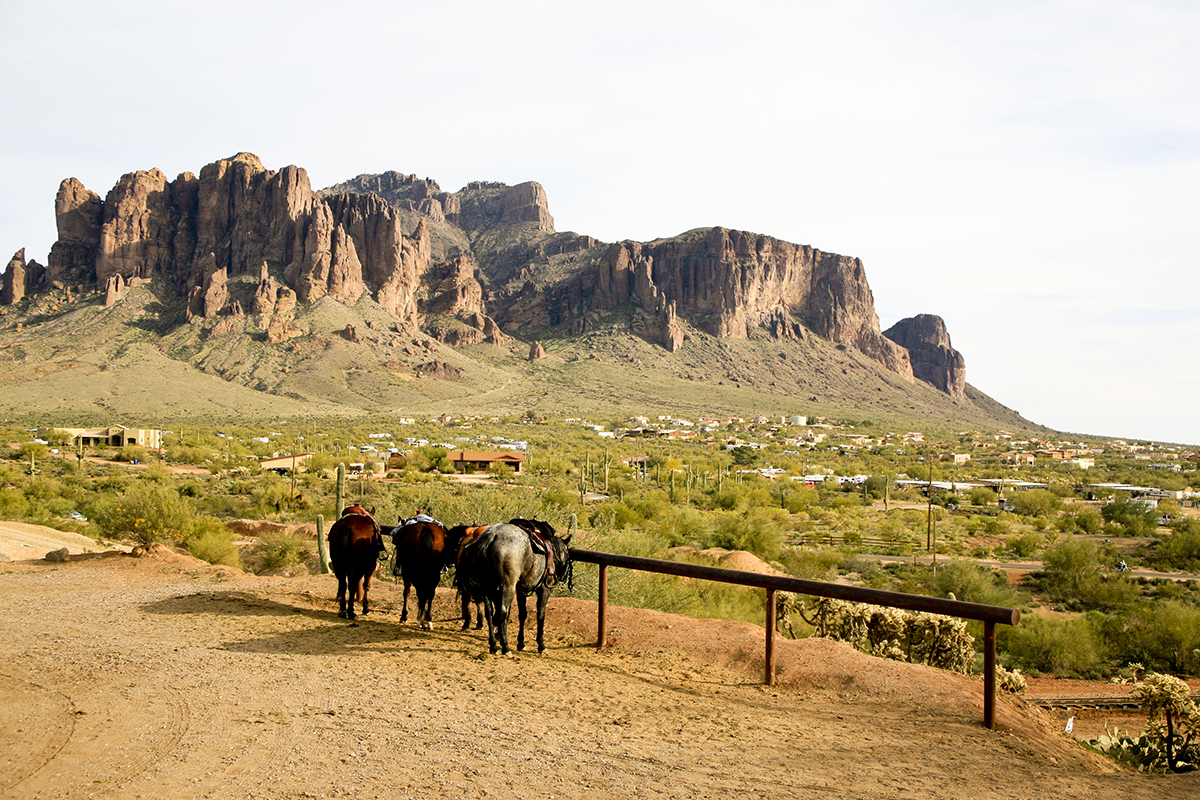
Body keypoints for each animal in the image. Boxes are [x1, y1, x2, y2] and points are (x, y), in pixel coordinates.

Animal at [458, 520, 571, 657]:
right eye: (567, 553)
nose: (563, 575)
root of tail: (491, 537)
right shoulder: (544, 589)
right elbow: (540, 615)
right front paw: (541, 645)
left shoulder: (521, 590)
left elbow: (522, 615)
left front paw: (521, 643)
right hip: (508, 587)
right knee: (502, 612)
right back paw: (505, 647)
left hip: (488, 588)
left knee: (489, 613)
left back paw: (493, 646)